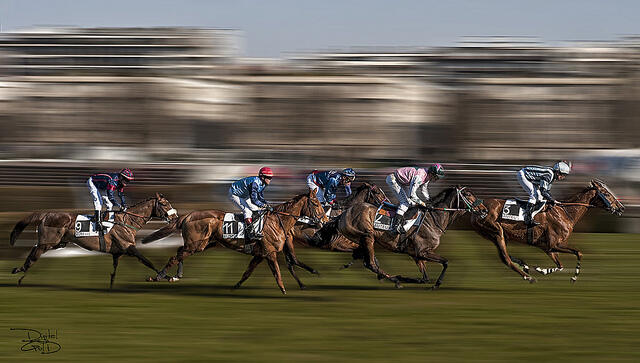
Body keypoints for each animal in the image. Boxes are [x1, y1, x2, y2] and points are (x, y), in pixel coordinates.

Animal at [10, 195, 179, 288]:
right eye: (164, 204)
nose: (175, 217)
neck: (127, 221)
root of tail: (46, 214)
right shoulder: (129, 247)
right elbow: (147, 261)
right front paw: (165, 276)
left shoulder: (119, 252)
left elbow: (115, 271)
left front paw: (111, 286)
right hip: (48, 242)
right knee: (34, 254)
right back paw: (20, 271)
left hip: (58, 243)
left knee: (34, 250)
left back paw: (20, 271)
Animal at [143, 191, 328, 296]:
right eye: (316, 203)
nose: (325, 221)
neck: (278, 221)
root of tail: (188, 215)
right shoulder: (270, 252)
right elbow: (277, 272)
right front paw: (283, 289)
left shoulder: (260, 254)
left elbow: (247, 272)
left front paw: (235, 287)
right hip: (195, 245)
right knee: (175, 257)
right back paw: (159, 276)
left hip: (202, 244)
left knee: (180, 251)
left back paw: (176, 275)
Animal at [312, 186, 488, 288]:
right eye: (468, 194)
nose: (484, 209)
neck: (434, 219)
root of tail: (342, 214)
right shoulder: (423, 252)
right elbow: (445, 262)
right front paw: (437, 284)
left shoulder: (416, 255)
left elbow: (425, 278)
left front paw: (406, 278)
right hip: (368, 236)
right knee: (370, 263)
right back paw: (394, 280)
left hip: (361, 240)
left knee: (365, 259)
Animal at [470, 179, 624, 284]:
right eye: (606, 194)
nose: (621, 207)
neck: (565, 213)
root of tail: (476, 207)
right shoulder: (554, 245)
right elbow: (579, 253)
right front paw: (573, 277)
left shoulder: (548, 248)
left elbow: (560, 265)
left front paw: (541, 269)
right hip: (497, 232)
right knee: (506, 259)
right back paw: (528, 277)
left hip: (495, 235)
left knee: (505, 256)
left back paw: (524, 265)